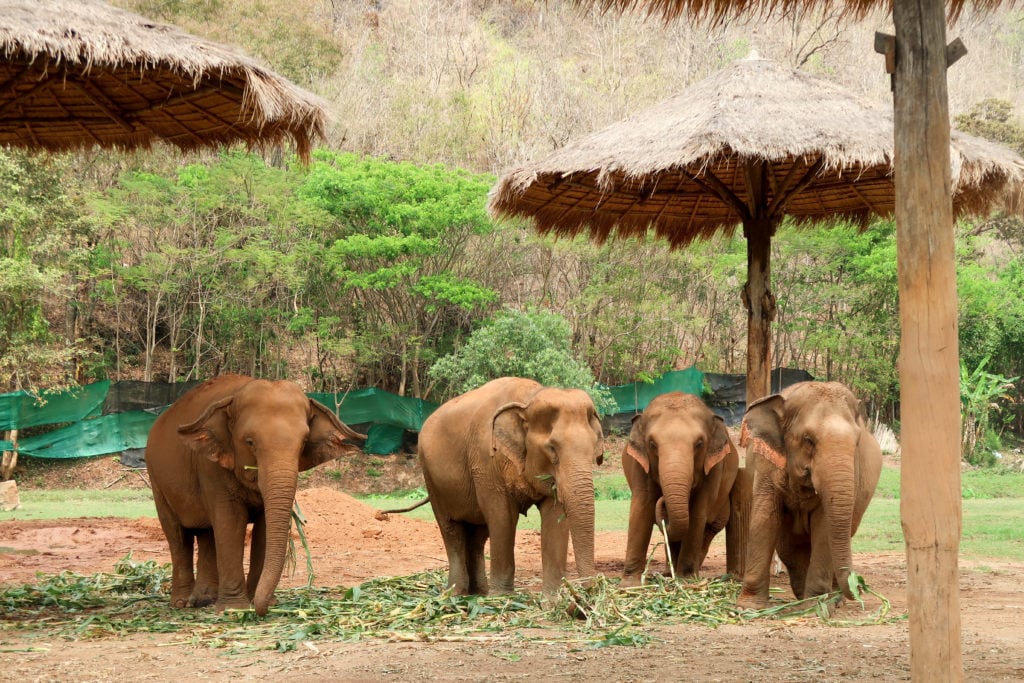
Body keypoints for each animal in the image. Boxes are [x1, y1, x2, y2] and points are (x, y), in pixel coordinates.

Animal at [143, 376, 368, 618]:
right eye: (250, 442)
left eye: (304, 441)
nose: (264, 607)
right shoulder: (210, 468)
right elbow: (230, 523)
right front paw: (234, 608)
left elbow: (264, 527)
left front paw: (257, 601)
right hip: (157, 481)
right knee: (178, 536)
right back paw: (181, 603)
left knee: (207, 534)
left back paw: (204, 600)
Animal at [415, 376, 602, 593]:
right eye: (552, 448)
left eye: (594, 448)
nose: (591, 589)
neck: (529, 399)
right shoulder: (485, 462)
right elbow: (502, 515)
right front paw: (502, 596)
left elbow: (554, 516)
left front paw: (552, 599)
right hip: (431, 477)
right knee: (452, 531)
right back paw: (456, 593)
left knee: (478, 533)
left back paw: (479, 592)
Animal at [618, 393, 741, 585]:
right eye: (652, 444)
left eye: (699, 444)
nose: (662, 499)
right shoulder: (640, 464)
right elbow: (642, 508)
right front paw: (629, 584)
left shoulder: (713, 469)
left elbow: (698, 512)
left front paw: (687, 580)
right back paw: (669, 574)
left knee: (709, 529)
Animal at [733, 378, 884, 610]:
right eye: (808, 440)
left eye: (857, 442)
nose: (859, 587)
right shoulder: (766, 464)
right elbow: (764, 518)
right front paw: (746, 608)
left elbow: (824, 527)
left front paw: (815, 607)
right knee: (790, 546)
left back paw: (830, 599)